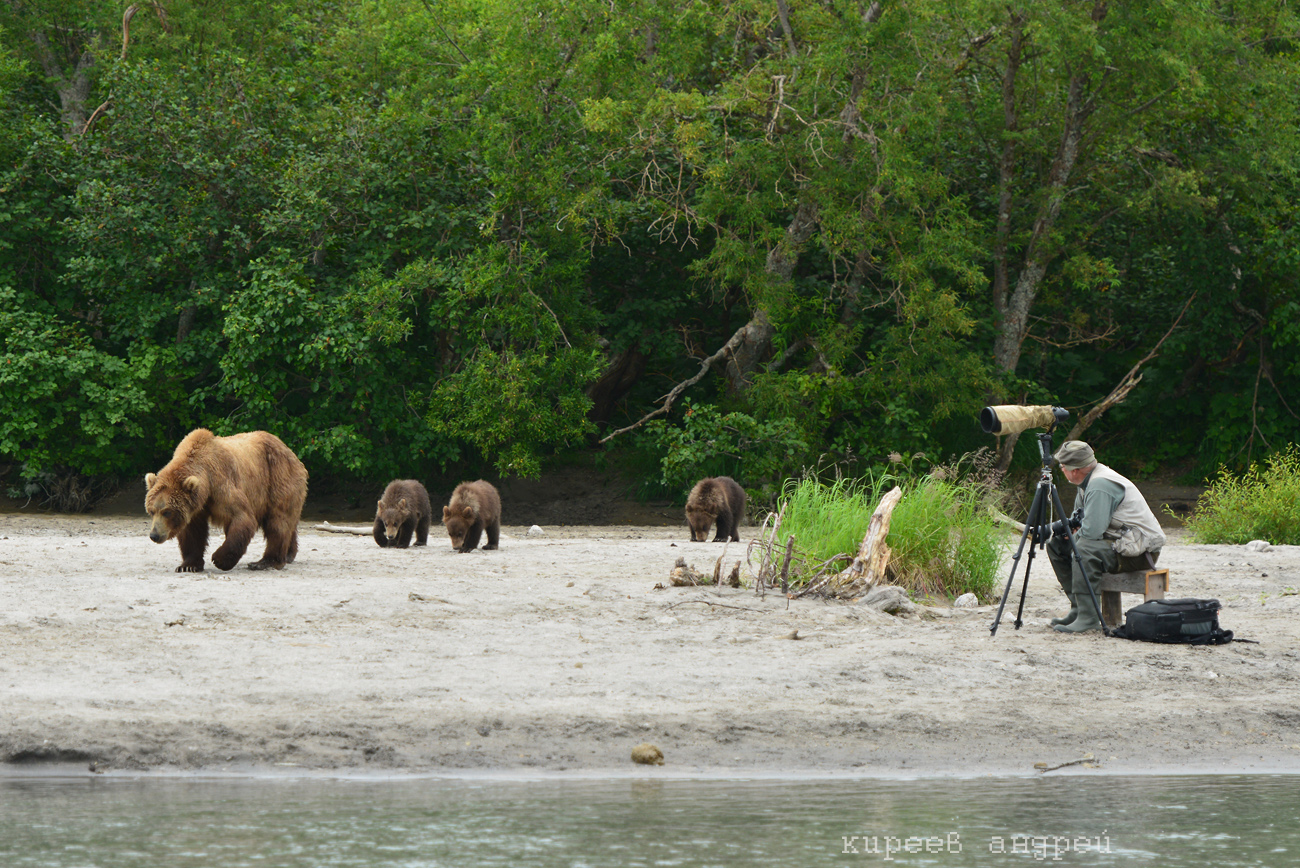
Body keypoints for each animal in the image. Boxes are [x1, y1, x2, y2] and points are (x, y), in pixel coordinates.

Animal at [145, 428, 309, 576]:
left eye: (167, 512)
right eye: (151, 511)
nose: (154, 535)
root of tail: (290, 451)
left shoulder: (221, 485)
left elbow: (242, 517)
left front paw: (219, 559)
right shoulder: (195, 507)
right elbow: (193, 532)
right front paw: (188, 566)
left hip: (278, 478)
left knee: (278, 521)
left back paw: (264, 562)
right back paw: (288, 554)